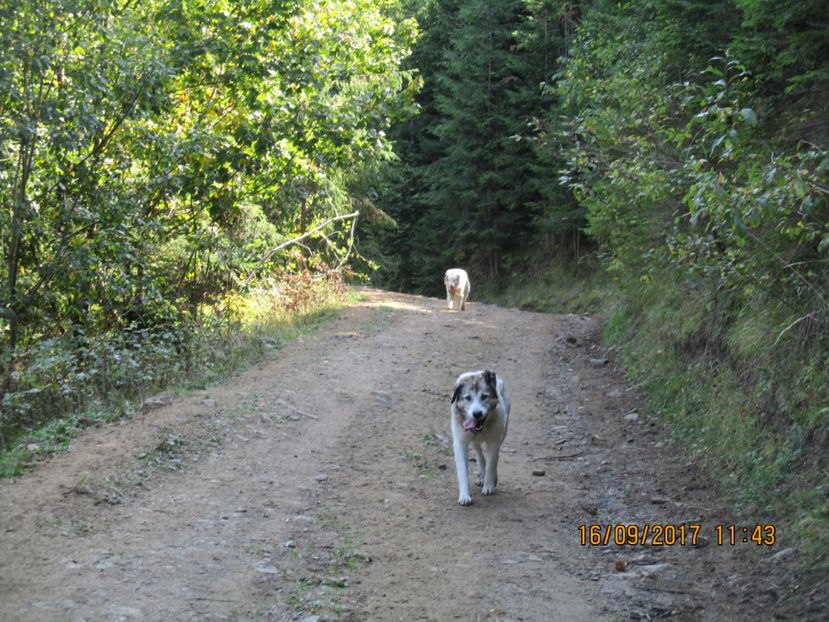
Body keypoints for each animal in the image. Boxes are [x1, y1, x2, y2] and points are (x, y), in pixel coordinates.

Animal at [450, 370, 508, 508]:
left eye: (484, 396)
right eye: (467, 398)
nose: (477, 414)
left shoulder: (494, 441)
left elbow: (492, 463)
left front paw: (488, 485)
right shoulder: (460, 443)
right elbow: (462, 470)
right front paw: (464, 496)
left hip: (503, 432)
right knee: (478, 451)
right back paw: (481, 474)